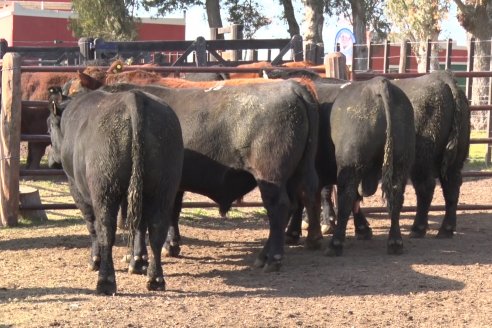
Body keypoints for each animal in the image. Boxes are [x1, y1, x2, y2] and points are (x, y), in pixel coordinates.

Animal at [48, 86, 184, 294]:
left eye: (48, 127)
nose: (51, 160)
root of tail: (134, 97)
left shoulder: (77, 189)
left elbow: (92, 225)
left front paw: (94, 260)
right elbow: (138, 225)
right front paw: (137, 261)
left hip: (105, 189)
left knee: (105, 229)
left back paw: (105, 280)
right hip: (164, 186)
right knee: (156, 229)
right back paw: (155, 278)